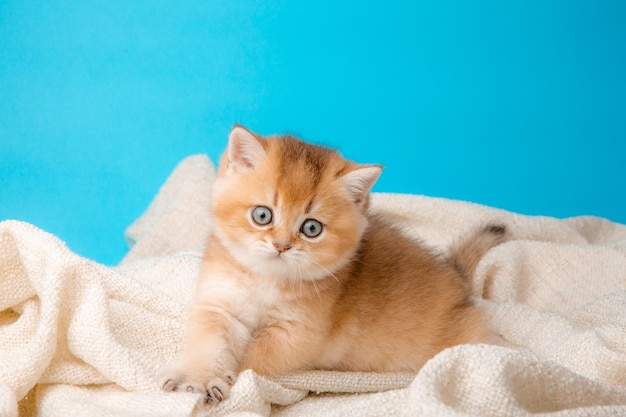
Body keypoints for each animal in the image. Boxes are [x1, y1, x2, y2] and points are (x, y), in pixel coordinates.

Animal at [160, 124, 502, 404]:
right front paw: (198, 377)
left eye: (311, 228)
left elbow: (249, 359)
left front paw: (227, 378)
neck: (266, 279)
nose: (281, 245)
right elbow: (210, 346)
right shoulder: (218, 306)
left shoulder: (294, 336)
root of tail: (458, 277)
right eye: (262, 215)